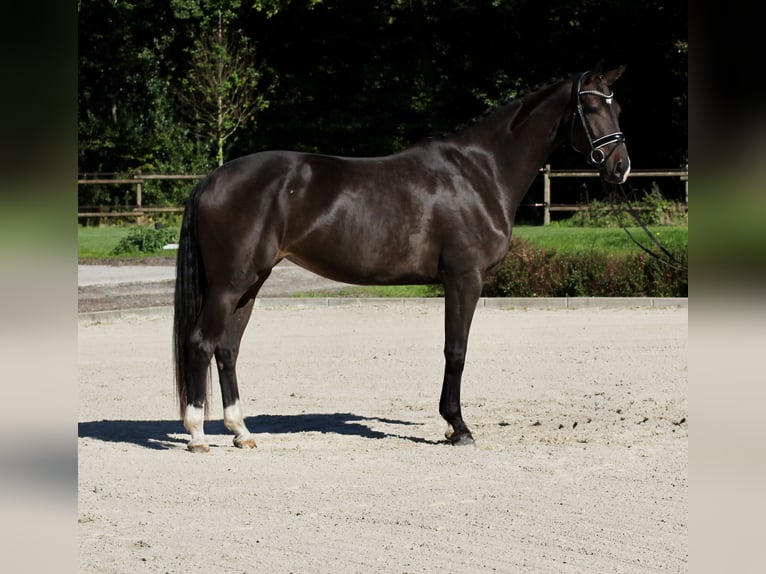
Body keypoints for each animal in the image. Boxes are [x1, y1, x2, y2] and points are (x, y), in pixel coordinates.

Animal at [173, 64, 630, 452]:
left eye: (618, 107)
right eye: (591, 108)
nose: (621, 167)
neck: (480, 172)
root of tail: (212, 179)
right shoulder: (464, 278)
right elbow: (456, 351)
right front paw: (458, 427)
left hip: (251, 282)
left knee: (227, 348)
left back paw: (241, 431)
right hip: (229, 283)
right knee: (200, 343)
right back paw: (197, 434)